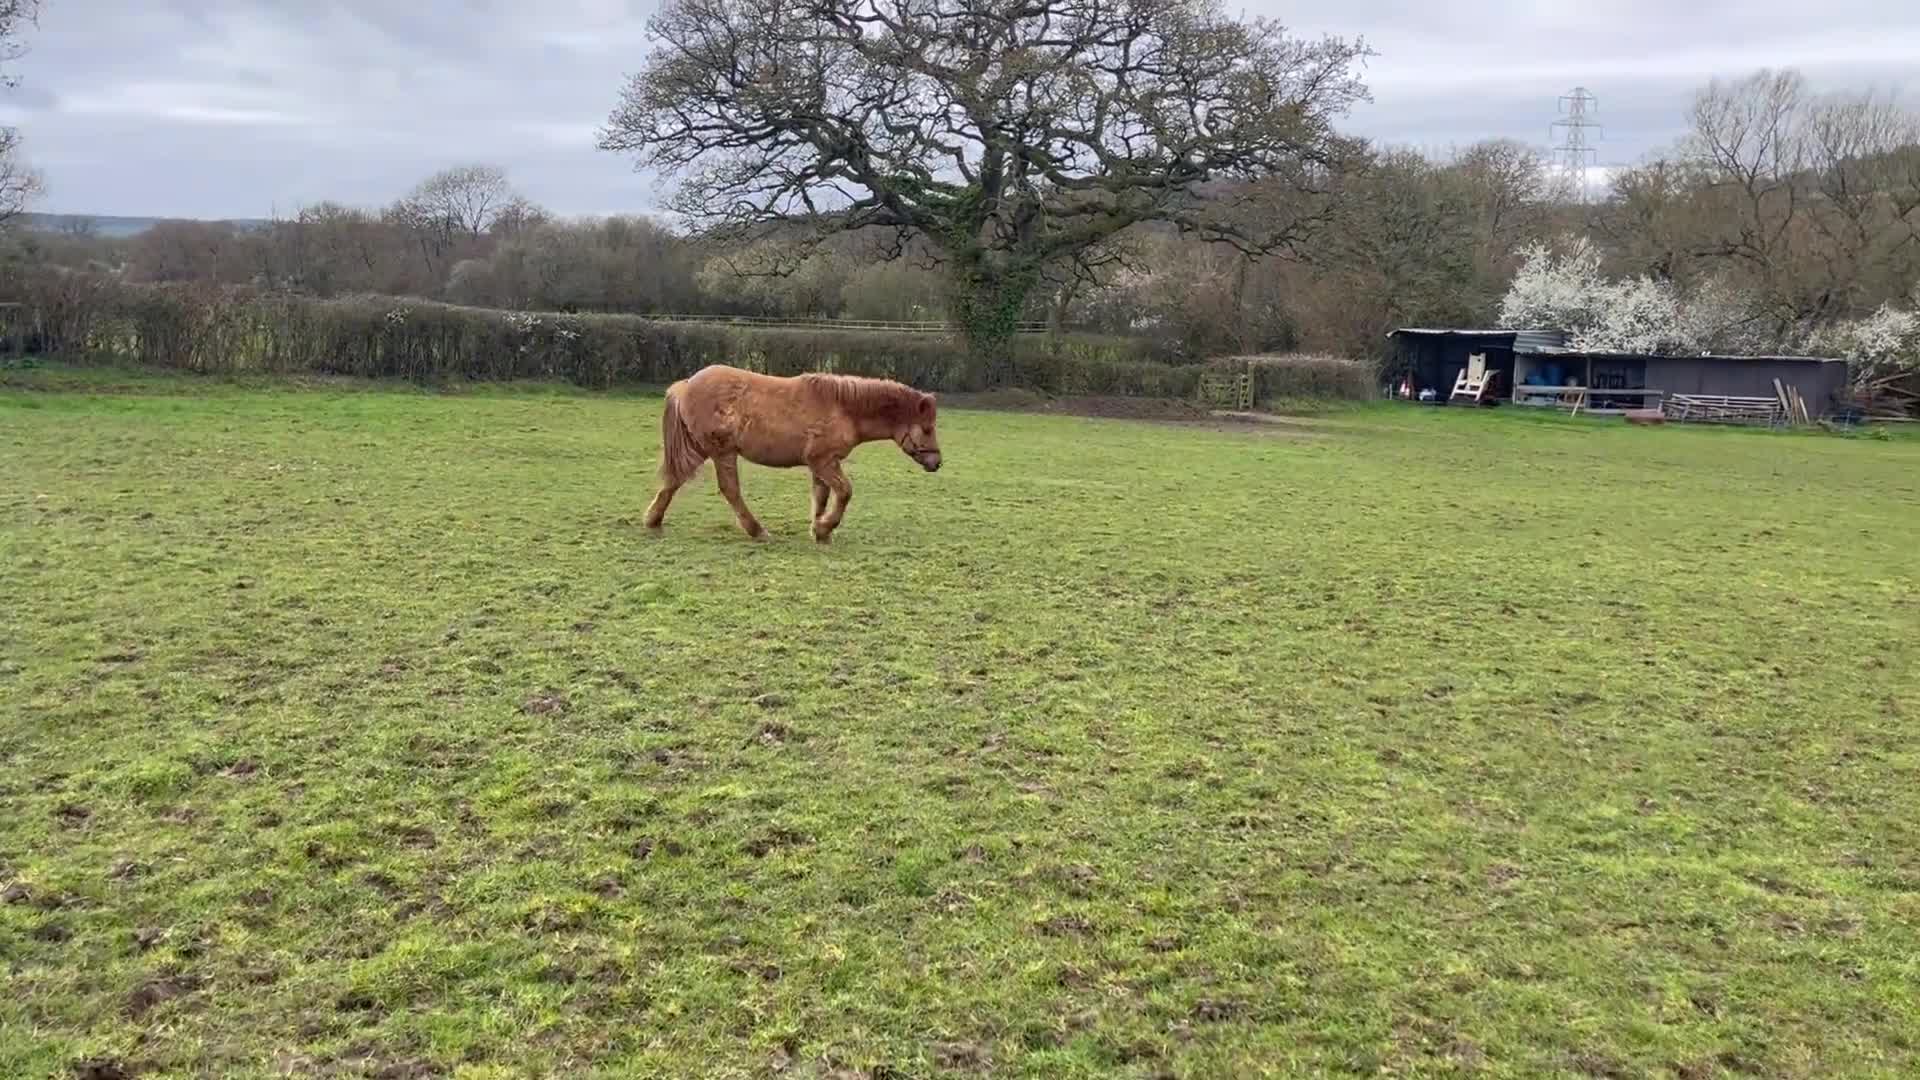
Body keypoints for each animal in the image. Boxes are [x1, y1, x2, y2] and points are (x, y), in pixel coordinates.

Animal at [643, 364, 942, 543]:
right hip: (721, 452)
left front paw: (819, 530)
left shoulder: (822, 465)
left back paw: (653, 521)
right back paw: (757, 531)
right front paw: (824, 527)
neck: (843, 409)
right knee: (730, 490)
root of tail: (686, 385)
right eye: (927, 429)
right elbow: (845, 492)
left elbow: (821, 496)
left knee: (673, 480)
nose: (937, 462)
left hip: (699, 450)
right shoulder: (823, 462)